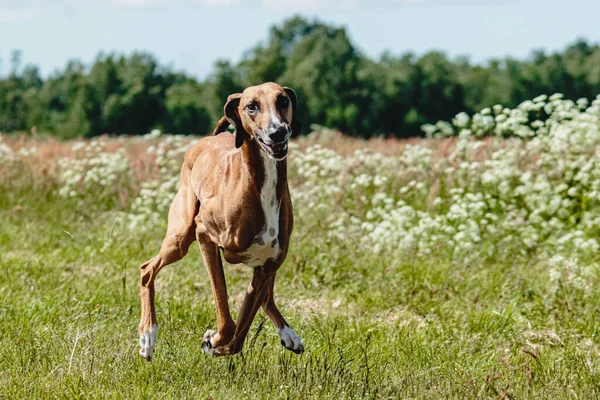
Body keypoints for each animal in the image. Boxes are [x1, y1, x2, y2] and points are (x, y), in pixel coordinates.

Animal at [138, 81, 302, 360]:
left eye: (282, 100)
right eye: (251, 106)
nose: (278, 133)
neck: (260, 184)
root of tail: (206, 140)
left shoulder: (265, 268)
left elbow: (239, 335)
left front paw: (215, 344)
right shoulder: (205, 235)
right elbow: (227, 319)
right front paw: (212, 340)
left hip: (270, 265)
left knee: (267, 297)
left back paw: (288, 334)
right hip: (180, 237)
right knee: (147, 270)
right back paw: (148, 335)